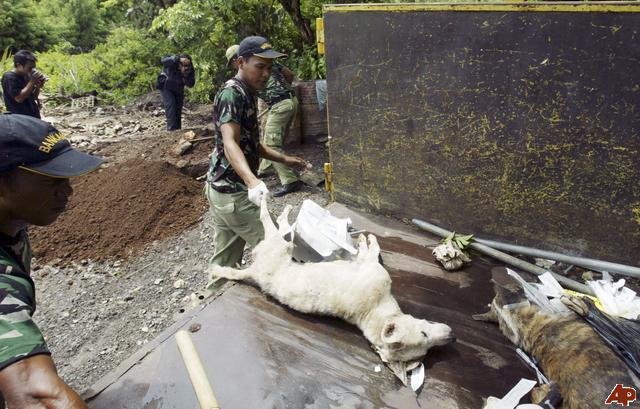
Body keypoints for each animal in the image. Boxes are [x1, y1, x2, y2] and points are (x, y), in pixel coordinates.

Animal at [210, 198, 456, 382]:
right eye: (424, 334)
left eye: (427, 351)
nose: (452, 337)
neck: (376, 313)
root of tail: (256, 273)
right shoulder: (372, 268)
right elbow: (371, 250)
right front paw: (366, 239)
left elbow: (368, 252)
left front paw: (364, 241)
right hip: (279, 245)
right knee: (269, 220)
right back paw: (268, 200)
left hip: (274, 250)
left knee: (271, 228)